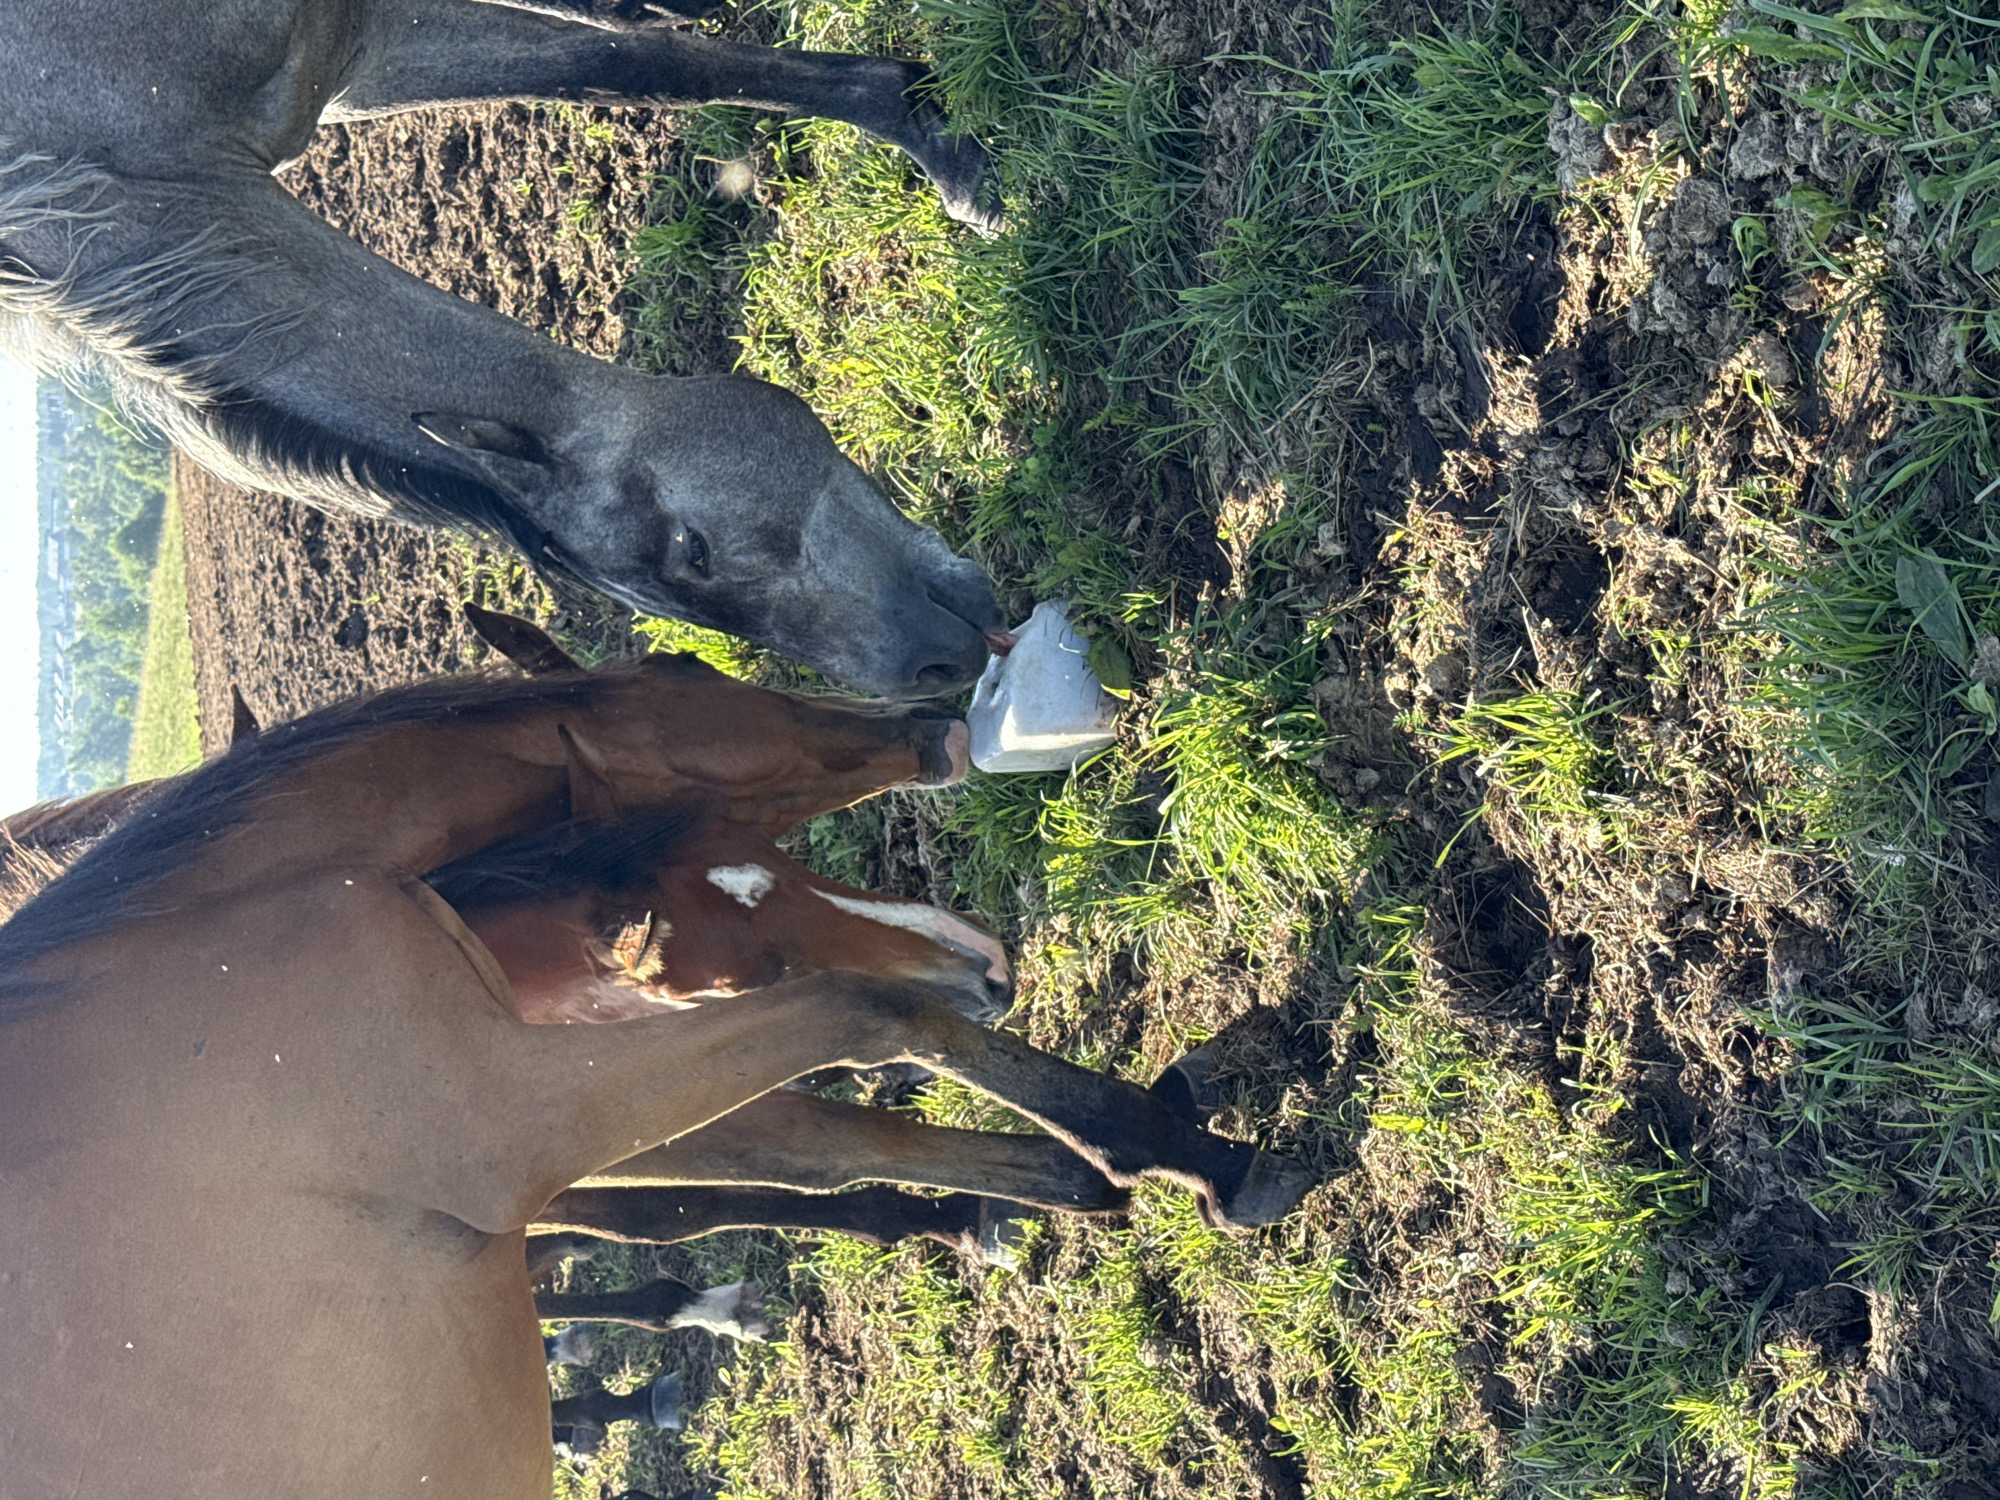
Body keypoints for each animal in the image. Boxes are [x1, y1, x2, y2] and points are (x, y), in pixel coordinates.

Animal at [0, 0, 1008, 696]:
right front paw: (934, 126)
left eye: (692, 547)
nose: (935, 667)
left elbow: (640, 65)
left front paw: (948, 148)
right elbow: (628, 66)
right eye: (684, 571)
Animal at [0, 651, 1314, 1499]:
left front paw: (1034, 1188)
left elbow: (808, 1151)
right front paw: (1178, 1155)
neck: (220, 936)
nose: (936, 728)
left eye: (687, 662)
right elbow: (855, 1031)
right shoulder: (514, 1119)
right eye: (699, 703)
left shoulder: (567, 1070)